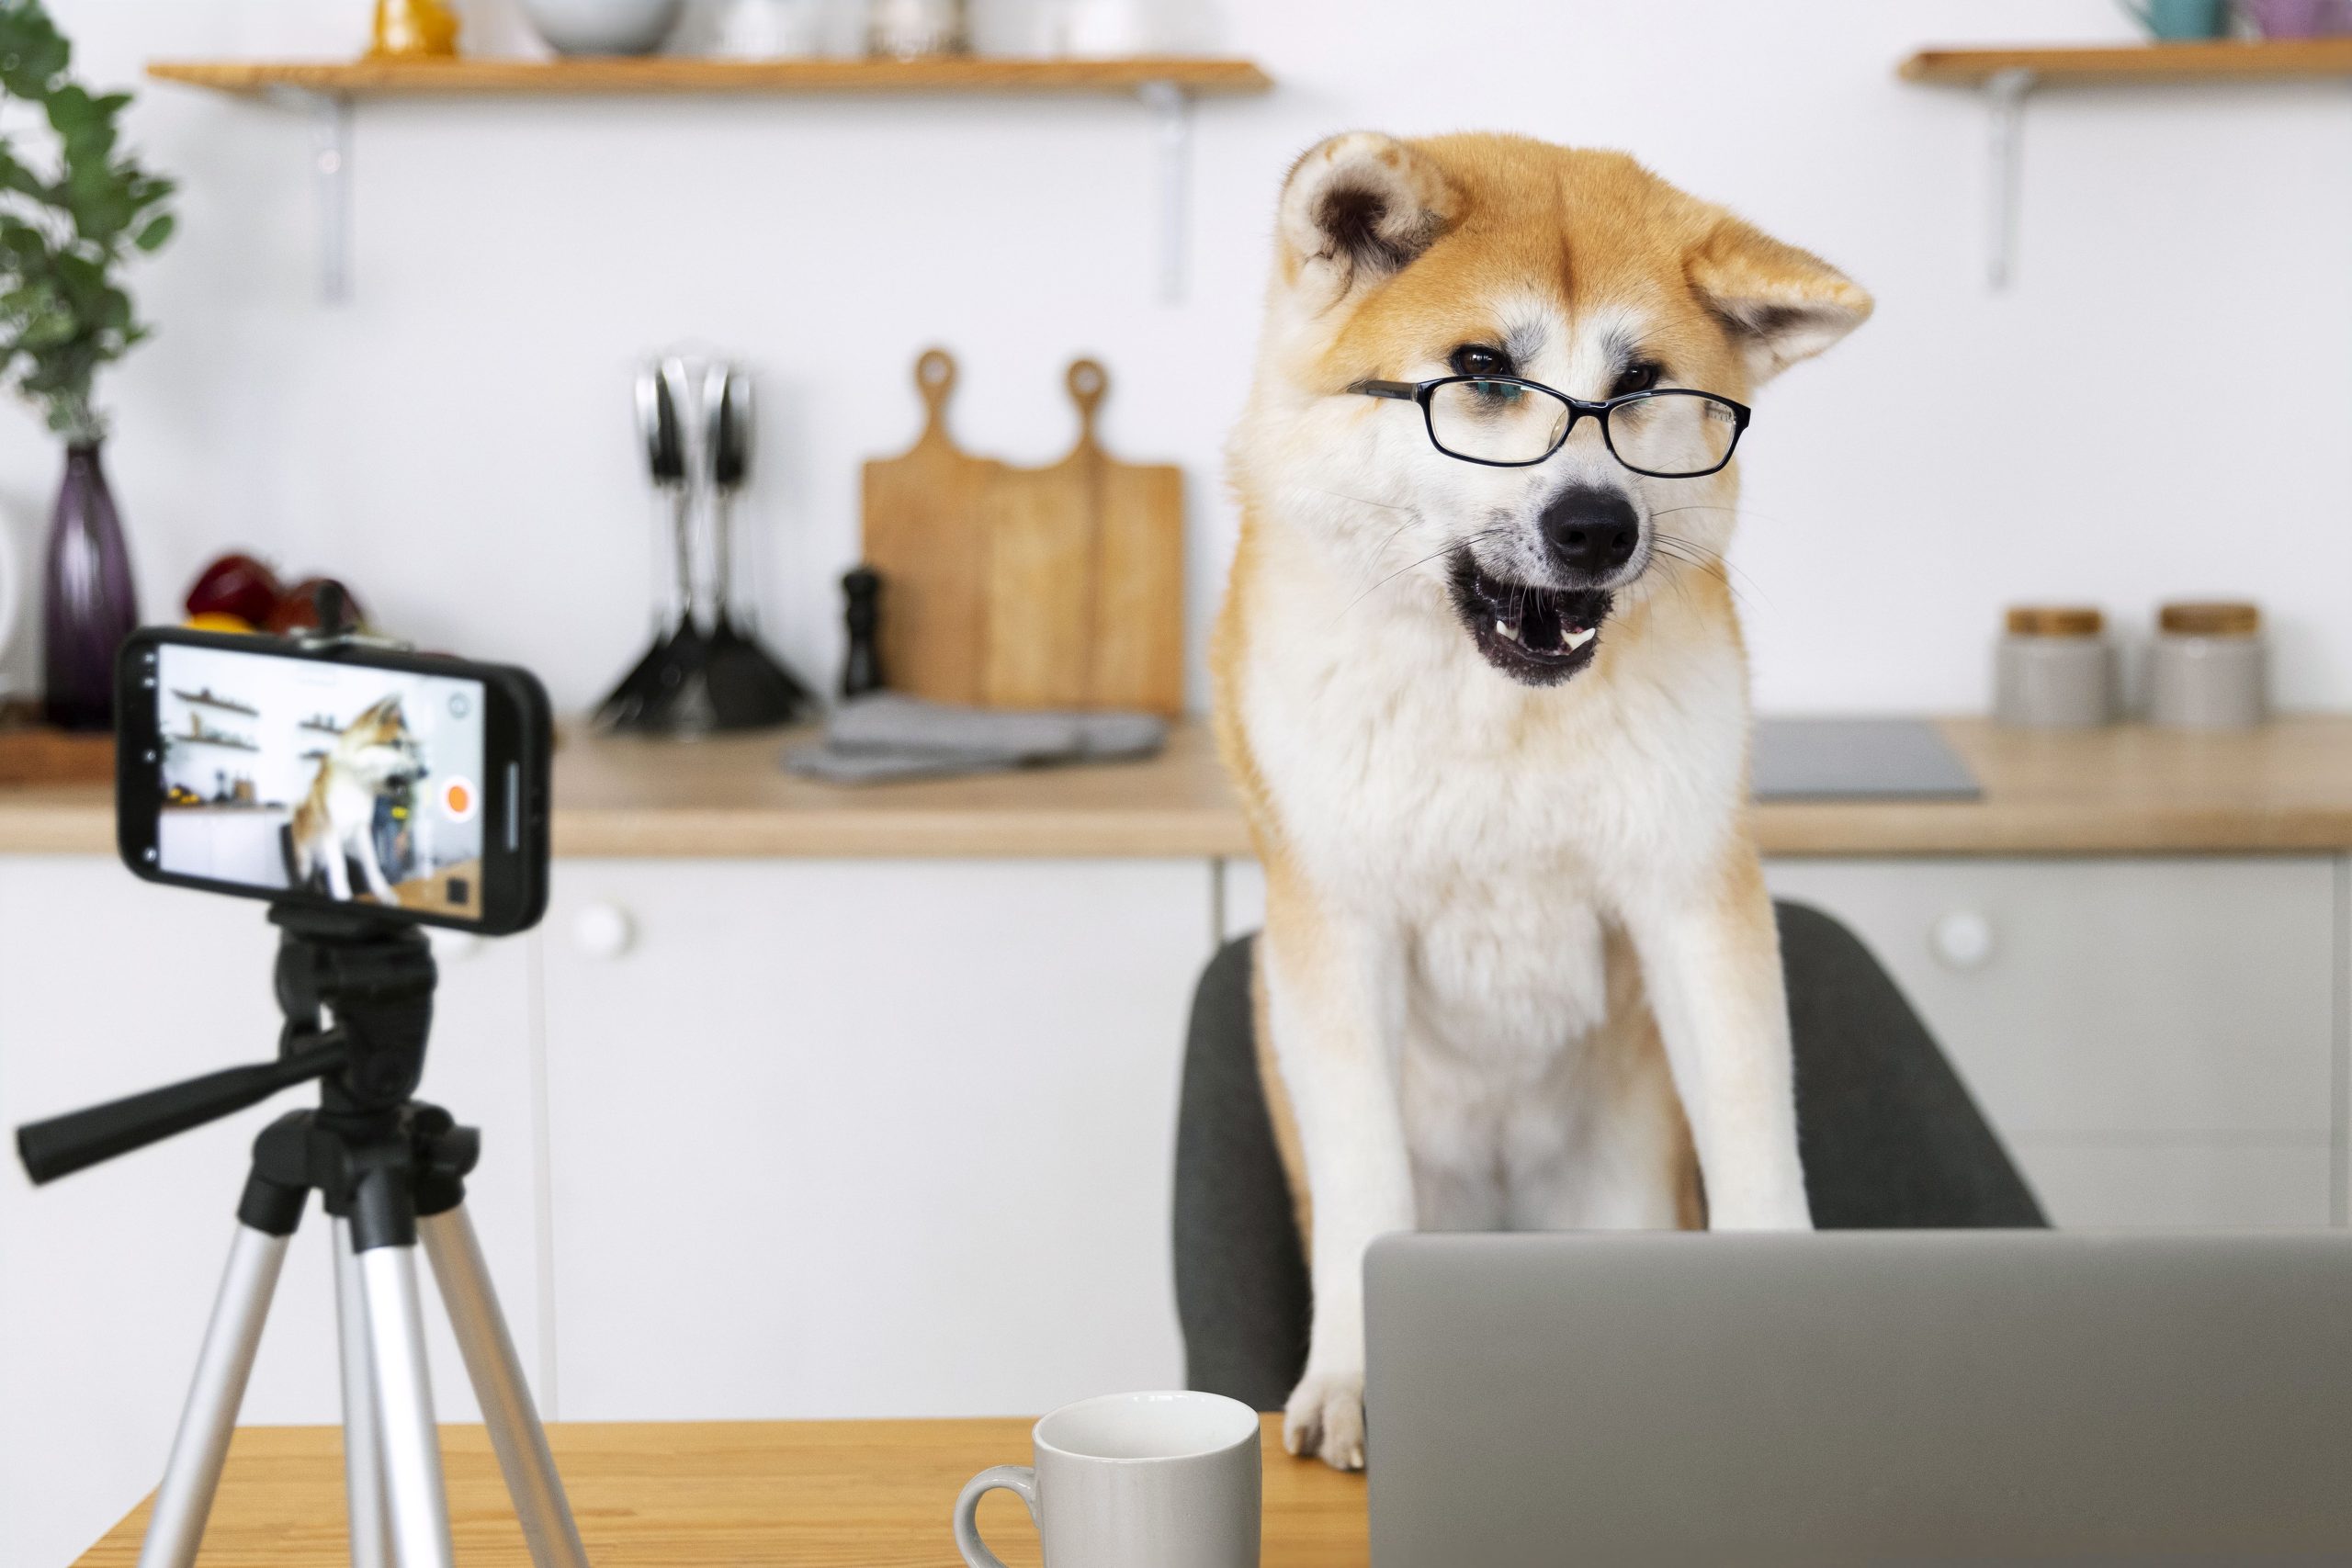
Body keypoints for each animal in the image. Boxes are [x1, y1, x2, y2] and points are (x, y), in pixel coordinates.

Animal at [290, 700, 425, 907]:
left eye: (410, 750)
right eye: (396, 744)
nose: (425, 771)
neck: (356, 784)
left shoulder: (363, 829)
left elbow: (372, 864)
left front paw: (383, 893)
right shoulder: (332, 831)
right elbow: (339, 869)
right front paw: (343, 896)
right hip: (306, 858)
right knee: (308, 876)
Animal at [1213, 135, 1871, 1476]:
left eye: (1643, 383)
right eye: (1480, 370)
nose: (1594, 525)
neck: (1499, 708)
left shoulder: (1696, 897)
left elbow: (1756, 1137)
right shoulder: (1337, 925)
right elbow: (1364, 1183)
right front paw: (1354, 1376)